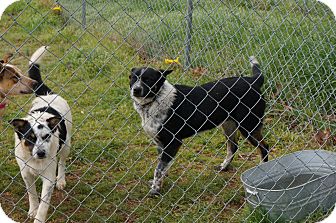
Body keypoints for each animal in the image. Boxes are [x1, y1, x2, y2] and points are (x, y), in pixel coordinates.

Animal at [9, 46, 71, 222]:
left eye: (46, 137)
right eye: (29, 138)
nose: (42, 153)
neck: (34, 160)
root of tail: (47, 94)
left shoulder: (48, 178)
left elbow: (44, 204)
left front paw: (39, 217)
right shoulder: (25, 173)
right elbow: (31, 194)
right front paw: (32, 210)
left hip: (66, 145)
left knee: (62, 162)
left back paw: (61, 180)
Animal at [130, 57, 270, 195]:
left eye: (148, 80)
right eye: (132, 78)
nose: (135, 90)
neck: (155, 100)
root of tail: (253, 81)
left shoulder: (173, 142)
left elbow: (159, 169)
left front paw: (155, 189)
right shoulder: (160, 143)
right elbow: (162, 167)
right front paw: (159, 183)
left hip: (249, 126)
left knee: (264, 147)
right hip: (229, 125)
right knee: (233, 146)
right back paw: (223, 167)